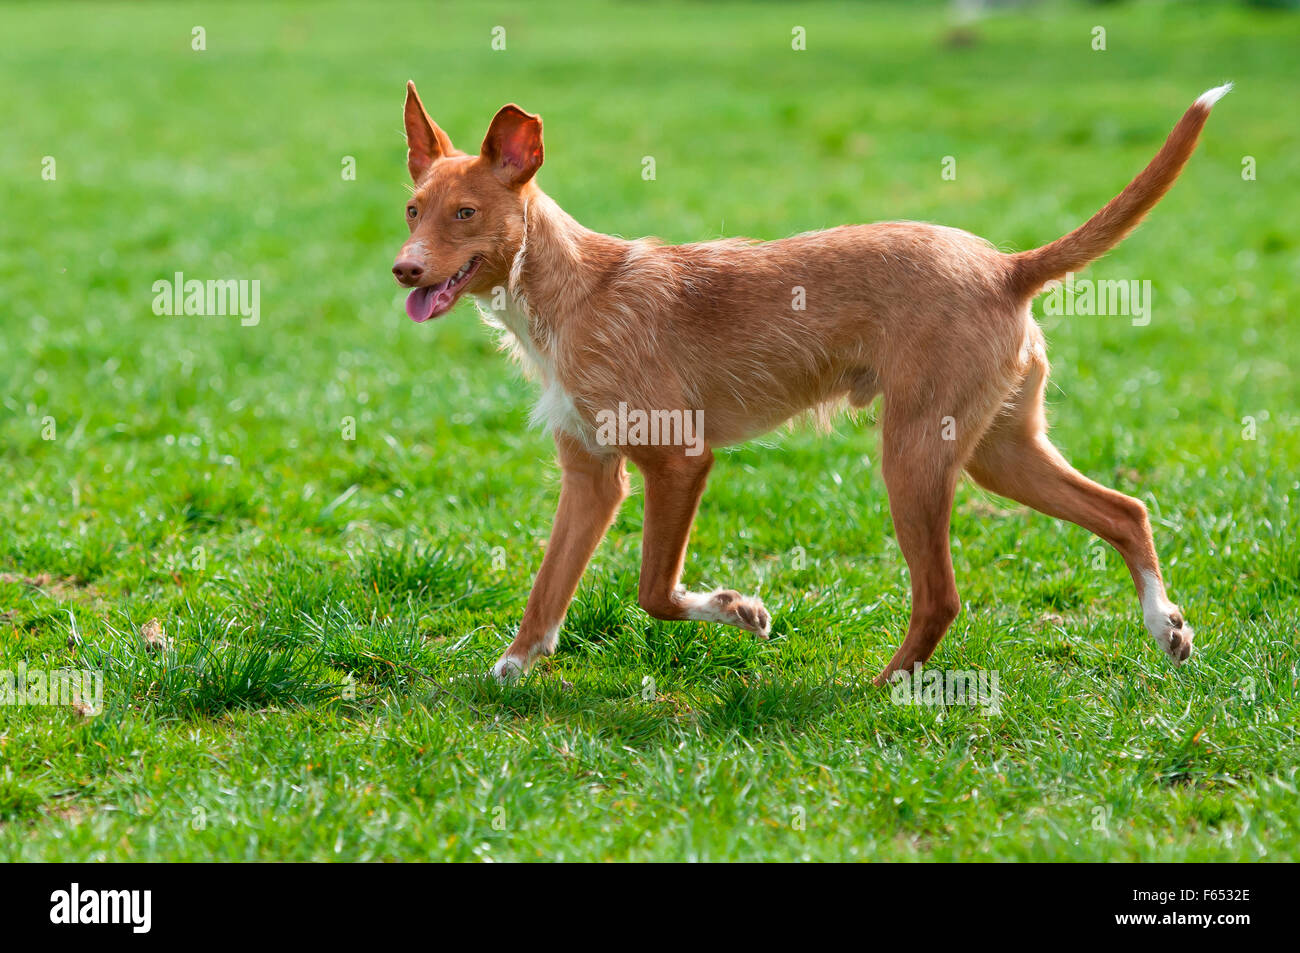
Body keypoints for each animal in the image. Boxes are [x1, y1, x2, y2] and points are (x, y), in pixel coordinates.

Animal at [387, 78, 1227, 681]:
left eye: (465, 213)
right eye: (412, 209)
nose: (403, 268)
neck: (573, 290)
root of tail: (1006, 266)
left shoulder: (679, 458)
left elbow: (654, 591)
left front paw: (738, 609)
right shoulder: (591, 475)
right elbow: (548, 587)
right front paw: (514, 666)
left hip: (914, 455)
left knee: (942, 596)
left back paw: (883, 685)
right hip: (999, 450)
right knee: (1126, 510)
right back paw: (1165, 626)